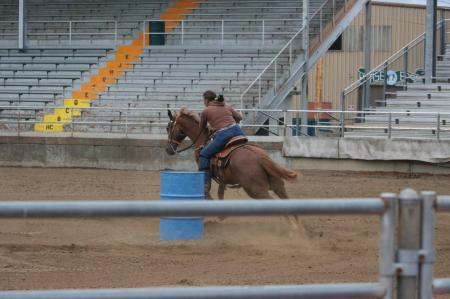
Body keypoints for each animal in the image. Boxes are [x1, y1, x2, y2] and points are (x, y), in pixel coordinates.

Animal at [165, 108, 298, 202]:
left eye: (168, 127)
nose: (168, 150)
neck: (203, 140)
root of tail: (260, 157)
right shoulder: (222, 179)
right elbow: (220, 193)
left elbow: (207, 189)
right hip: (277, 186)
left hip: (256, 190)